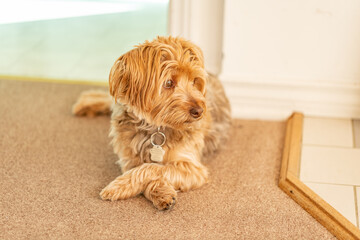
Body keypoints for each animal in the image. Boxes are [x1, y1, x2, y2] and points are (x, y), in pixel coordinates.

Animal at [73, 36, 231, 210]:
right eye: (168, 83)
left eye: (194, 81)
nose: (199, 111)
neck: (155, 127)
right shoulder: (129, 158)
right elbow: (145, 168)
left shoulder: (193, 168)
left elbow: (152, 168)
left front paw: (123, 187)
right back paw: (84, 103)